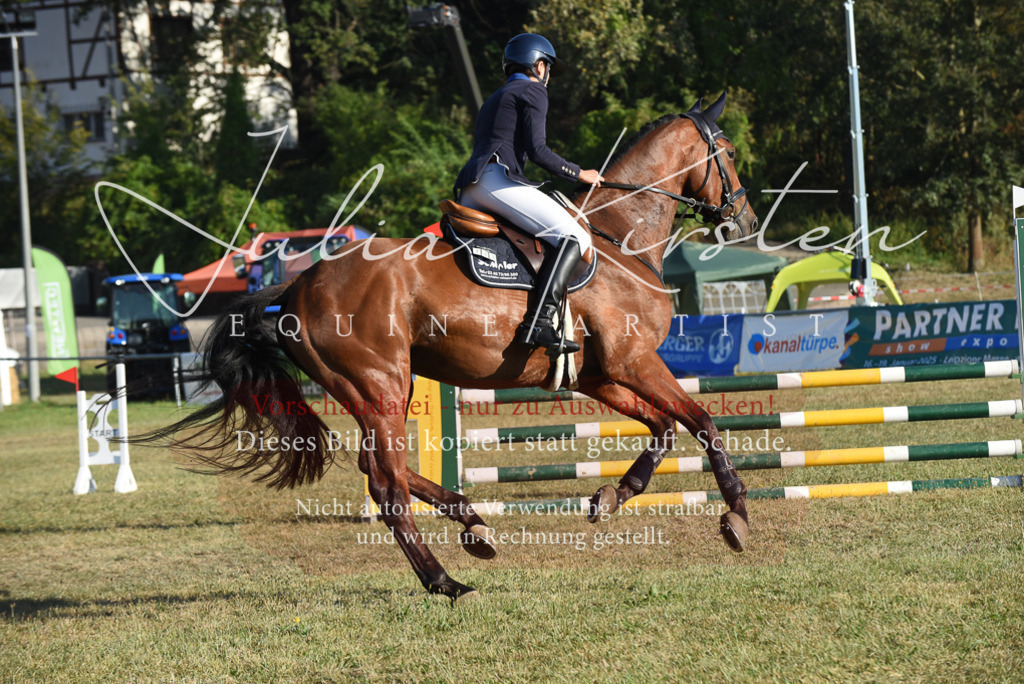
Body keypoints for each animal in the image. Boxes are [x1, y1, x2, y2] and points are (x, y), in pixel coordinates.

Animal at [161, 92, 759, 600]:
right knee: (387, 489)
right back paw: (445, 581)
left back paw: (473, 524)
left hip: (384, 388)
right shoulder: (631, 361)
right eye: (728, 152)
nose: (746, 221)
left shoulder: (600, 374)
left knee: (377, 469)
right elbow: (702, 420)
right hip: (379, 386)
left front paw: (611, 495)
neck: (618, 237)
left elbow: (664, 428)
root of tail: (298, 285)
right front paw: (736, 515)